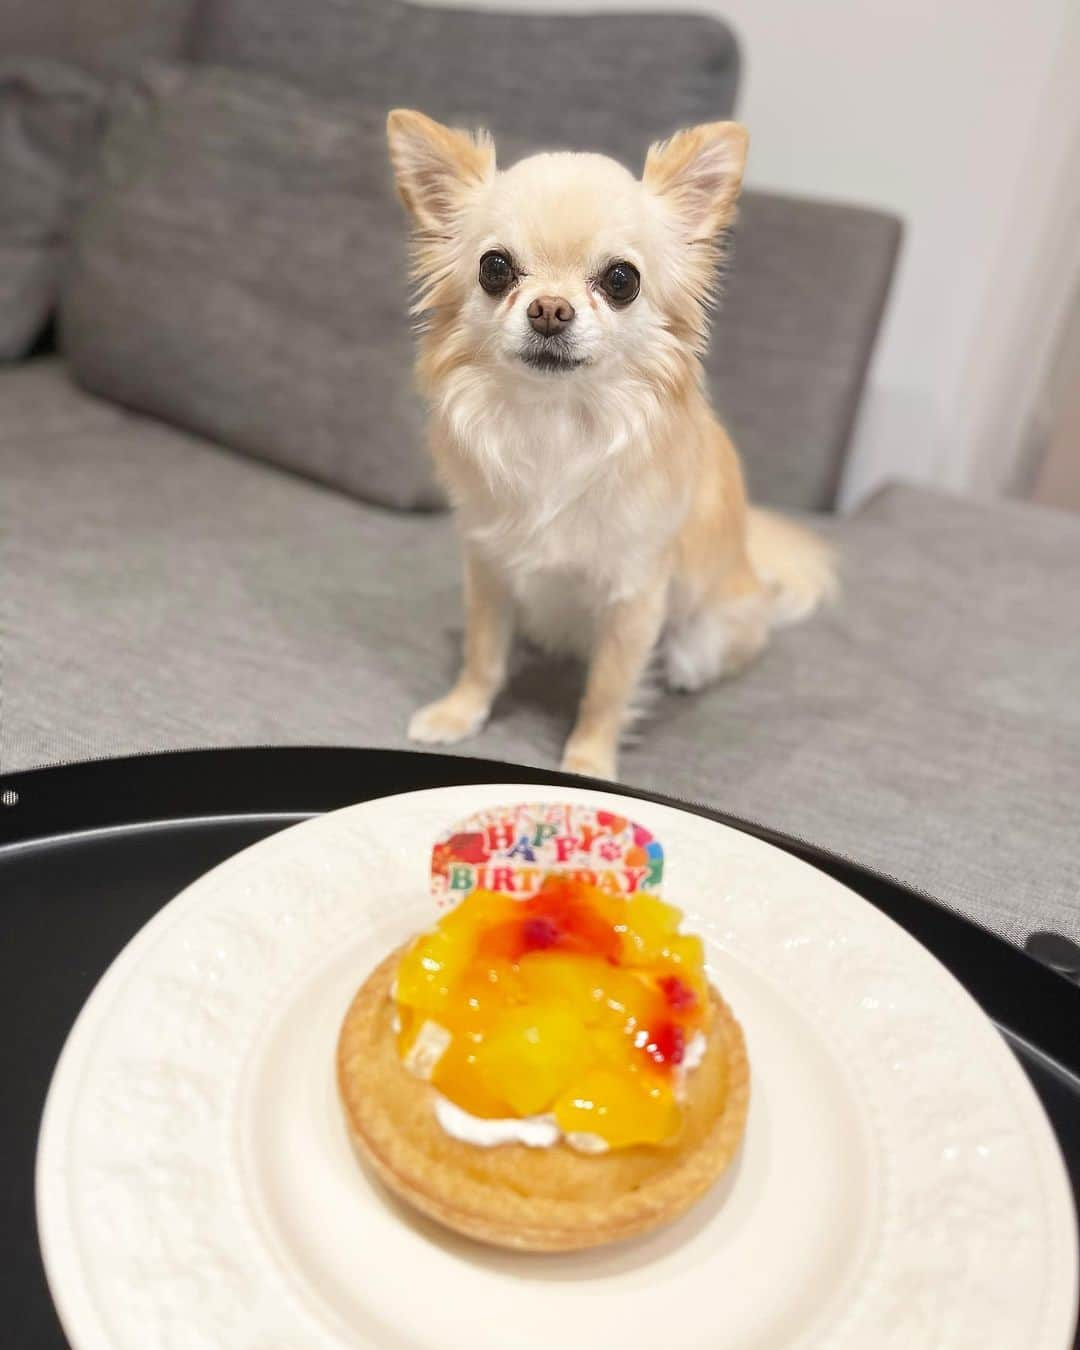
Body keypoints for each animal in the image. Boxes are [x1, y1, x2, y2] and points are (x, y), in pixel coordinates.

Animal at [388, 108, 837, 783]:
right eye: (495, 268)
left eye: (621, 280)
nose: (549, 309)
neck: (555, 423)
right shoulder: (490, 566)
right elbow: (483, 652)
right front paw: (459, 712)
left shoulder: (634, 597)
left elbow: (606, 688)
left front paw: (587, 763)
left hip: (708, 628)